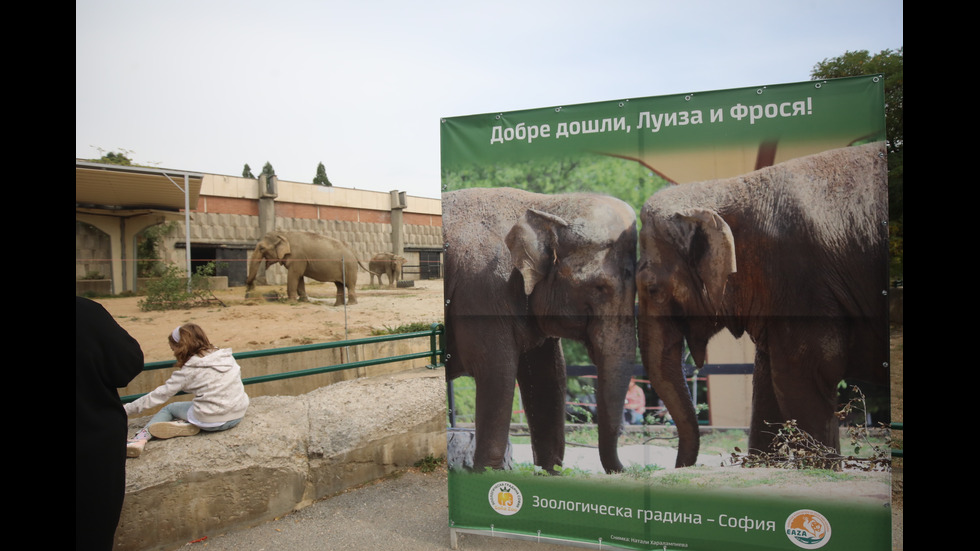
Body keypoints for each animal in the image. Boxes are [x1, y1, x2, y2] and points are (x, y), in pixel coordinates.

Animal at [442, 187, 640, 474]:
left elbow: (548, 373)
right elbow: (496, 371)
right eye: (599, 288)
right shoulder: (481, 296)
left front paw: (549, 473)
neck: (544, 204)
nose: (624, 470)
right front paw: (488, 474)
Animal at [636, 144, 888, 468]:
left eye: (651, 289)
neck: (727, 188)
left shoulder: (801, 282)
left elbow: (804, 374)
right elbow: (768, 381)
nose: (680, 467)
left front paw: (821, 465)